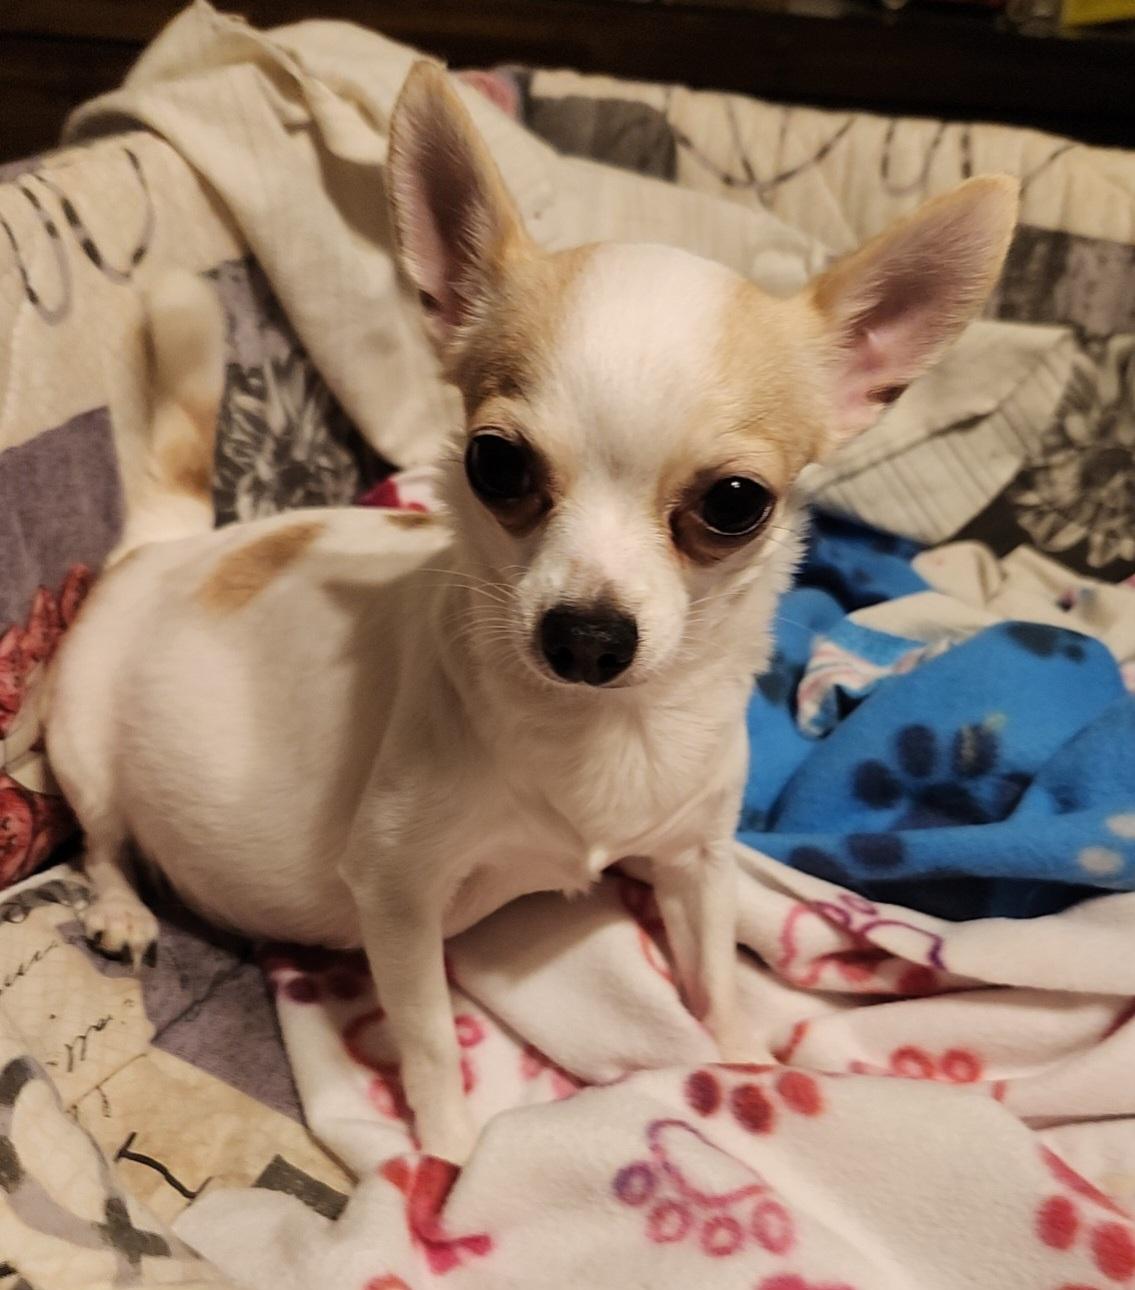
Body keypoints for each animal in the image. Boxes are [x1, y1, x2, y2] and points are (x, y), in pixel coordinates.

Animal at [47, 61, 1019, 1163]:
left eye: (736, 503)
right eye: (495, 465)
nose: (586, 635)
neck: (604, 731)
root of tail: (166, 546)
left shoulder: (694, 862)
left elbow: (716, 976)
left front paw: (744, 1067)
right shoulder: (394, 895)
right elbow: (429, 1038)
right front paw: (448, 1158)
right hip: (82, 743)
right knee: (102, 839)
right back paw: (121, 910)